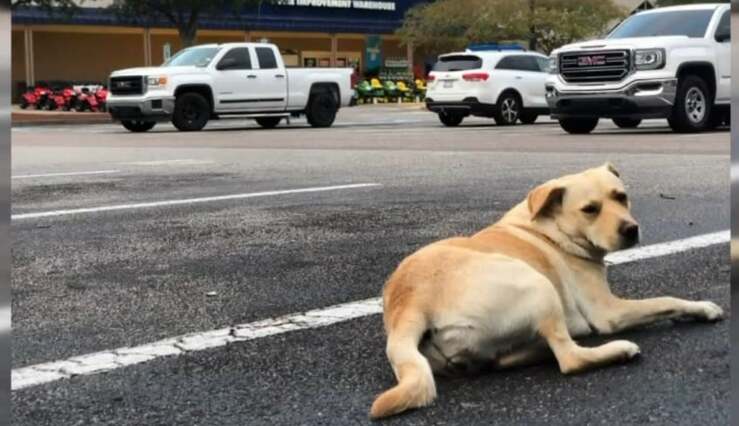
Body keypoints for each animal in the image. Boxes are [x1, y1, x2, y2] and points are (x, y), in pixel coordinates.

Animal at [368, 163, 724, 420]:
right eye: (590, 209)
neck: (550, 226)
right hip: (539, 285)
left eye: (621, 197)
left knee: (508, 358)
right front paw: (702, 307)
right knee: (569, 358)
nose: (631, 229)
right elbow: (665, 299)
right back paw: (614, 349)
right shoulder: (609, 311)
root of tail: (409, 303)